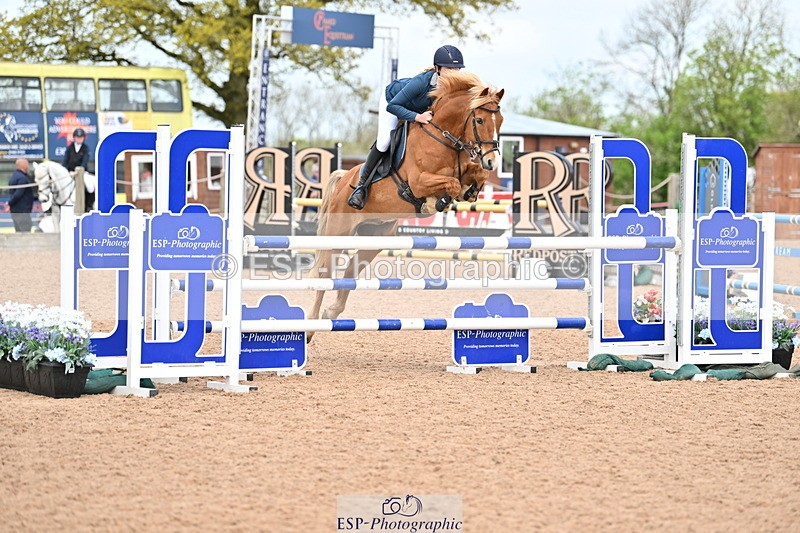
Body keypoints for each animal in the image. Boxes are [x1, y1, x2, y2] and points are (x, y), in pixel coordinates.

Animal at [307, 71, 505, 335]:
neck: (443, 138)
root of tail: (343, 180)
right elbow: (451, 184)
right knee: (324, 274)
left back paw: (331, 312)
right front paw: (434, 204)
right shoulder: (420, 182)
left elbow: (474, 177)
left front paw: (470, 192)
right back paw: (311, 326)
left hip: (375, 237)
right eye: (480, 120)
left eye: (500, 121)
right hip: (338, 234)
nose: (491, 161)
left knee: (350, 271)